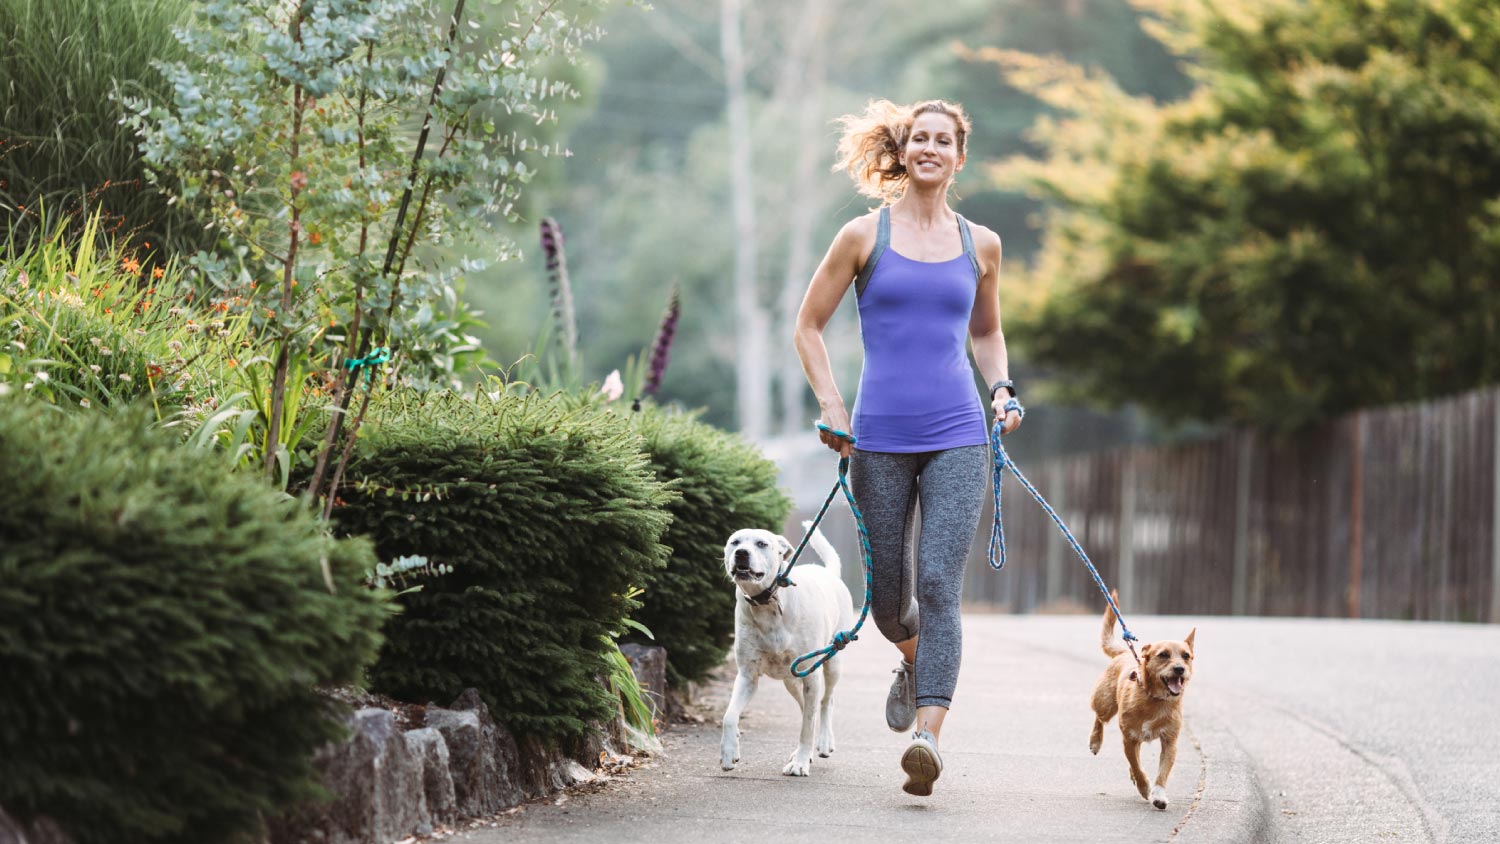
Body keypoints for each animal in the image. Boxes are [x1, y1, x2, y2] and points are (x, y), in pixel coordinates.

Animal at [717, 521, 852, 779]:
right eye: (734, 542)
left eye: (761, 543)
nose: (741, 553)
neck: (767, 603)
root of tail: (828, 572)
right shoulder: (747, 676)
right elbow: (729, 716)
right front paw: (729, 753)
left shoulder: (811, 673)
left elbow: (807, 725)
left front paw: (799, 763)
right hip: (791, 679)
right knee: (806, 706)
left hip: (833, 661)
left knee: (825, 702)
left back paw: (823, 742)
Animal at [1092, 596, 1194, 809]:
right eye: (1163, 655)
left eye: (1186, 656)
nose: (1180, 669)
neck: (1155, 699)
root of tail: (1124, 653)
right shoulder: (1129, 739)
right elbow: (1138, 767)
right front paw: (1145, 788)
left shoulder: (1170, 742)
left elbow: (1162, 772)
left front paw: (1158, 795)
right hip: (1104, 703)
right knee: (1099, 718)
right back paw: (1095, 741)